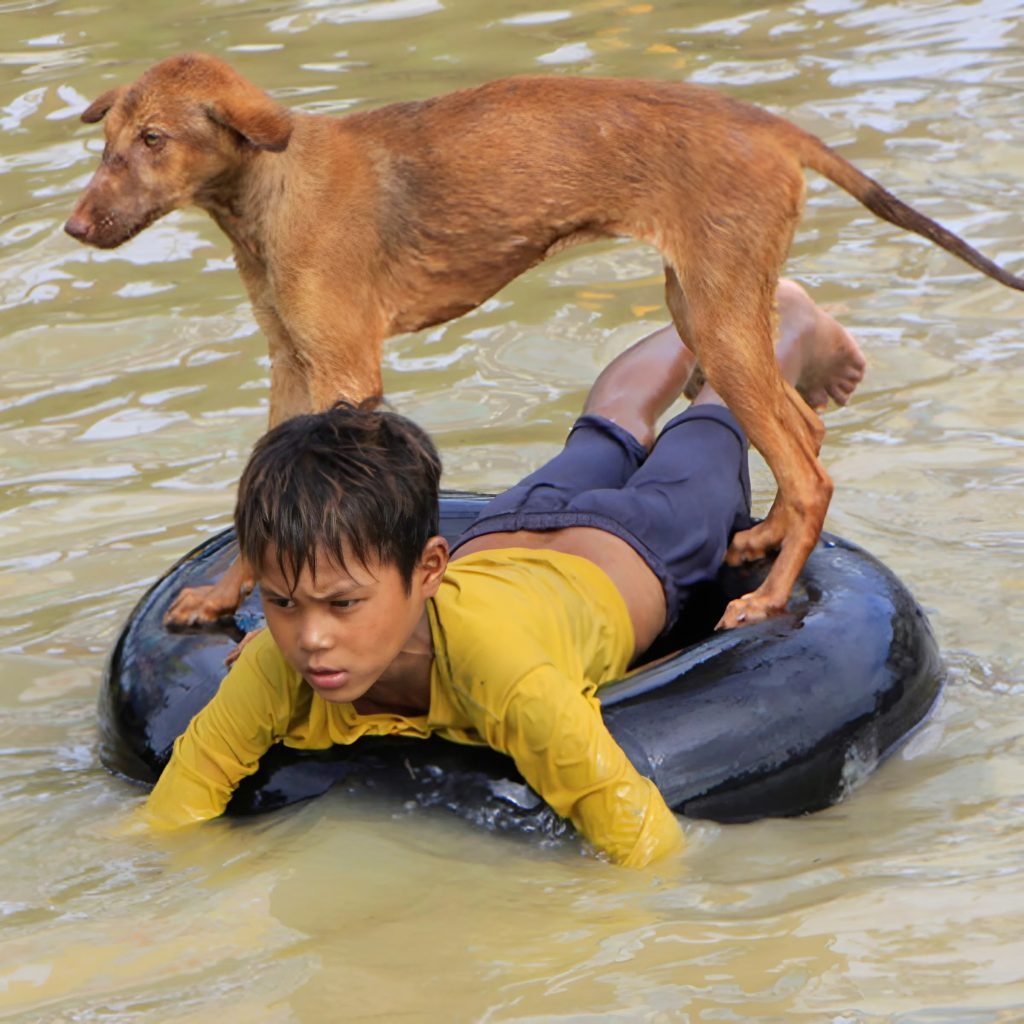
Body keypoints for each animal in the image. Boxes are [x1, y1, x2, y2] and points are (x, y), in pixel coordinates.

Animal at [66, 56, 1024, 630]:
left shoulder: (343, 368)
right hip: (703, 309)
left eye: (153, 140)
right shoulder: (291, 364)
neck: (270, 189)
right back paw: (763, 543)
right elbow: (249, 497)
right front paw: (223, 597)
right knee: (806, 432)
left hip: (717, 318)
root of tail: (764, 123)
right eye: (108, 143)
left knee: (809, 465)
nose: (74, 227)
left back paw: (770, 598)